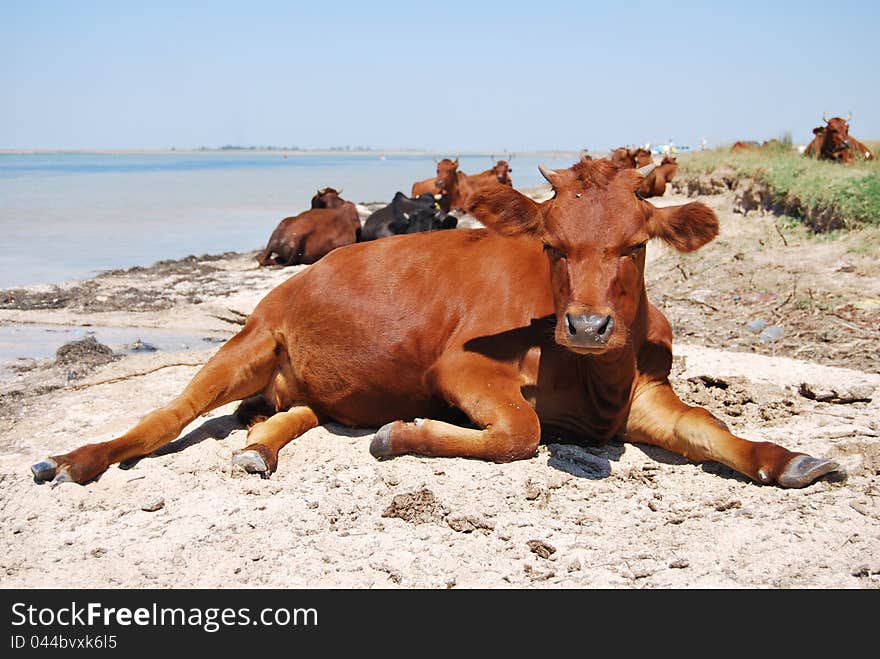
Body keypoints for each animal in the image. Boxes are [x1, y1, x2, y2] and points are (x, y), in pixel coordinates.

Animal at [29, 157, 844, 492]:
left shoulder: (644, 392)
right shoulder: (458, 366)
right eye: (552, 244)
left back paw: (260, 448)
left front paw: (790, 460)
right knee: (166, 415)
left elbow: (710, 427)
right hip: (249, 342)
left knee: (294, 412)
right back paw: (76, 459)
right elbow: (522, 431)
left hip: (317, 387)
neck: (596, 381)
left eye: (636, 245)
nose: (586, 325)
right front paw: (405, 436)